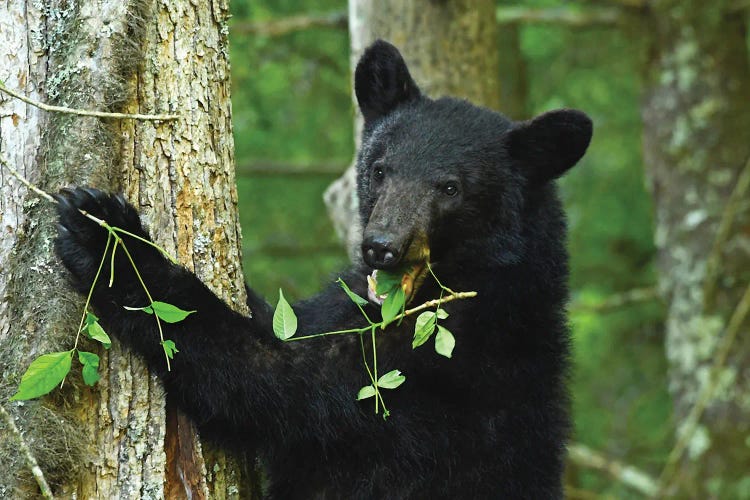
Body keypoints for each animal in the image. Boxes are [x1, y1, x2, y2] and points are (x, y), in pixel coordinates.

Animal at [54, 41, 592, 498]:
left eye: (450, 188)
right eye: (379, 169)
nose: (382, 248)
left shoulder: (442, 363)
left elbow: (271, 380)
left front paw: (105, 238)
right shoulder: (345, 306)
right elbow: (286, 326)